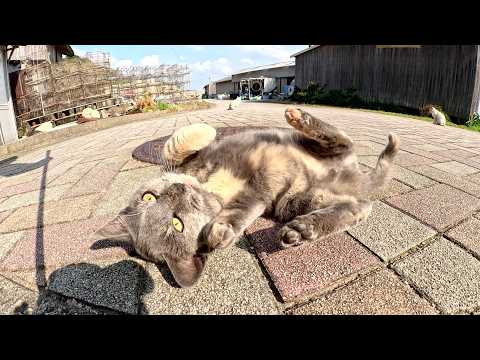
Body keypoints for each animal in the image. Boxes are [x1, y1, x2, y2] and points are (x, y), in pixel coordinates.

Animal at [94, 108, 402, 288]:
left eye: (148, 197)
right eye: (177, 224)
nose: (177, 190)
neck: (212, 187)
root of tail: (355, 179)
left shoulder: (199, 160)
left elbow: (175, 146)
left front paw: (205, 129)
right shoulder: (257, 198)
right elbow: (239, 213)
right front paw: (220, 233)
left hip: (315, 151)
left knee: (340, 138)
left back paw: (298, 116)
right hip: (300, 199)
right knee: (357, 208)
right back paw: (301, 231)